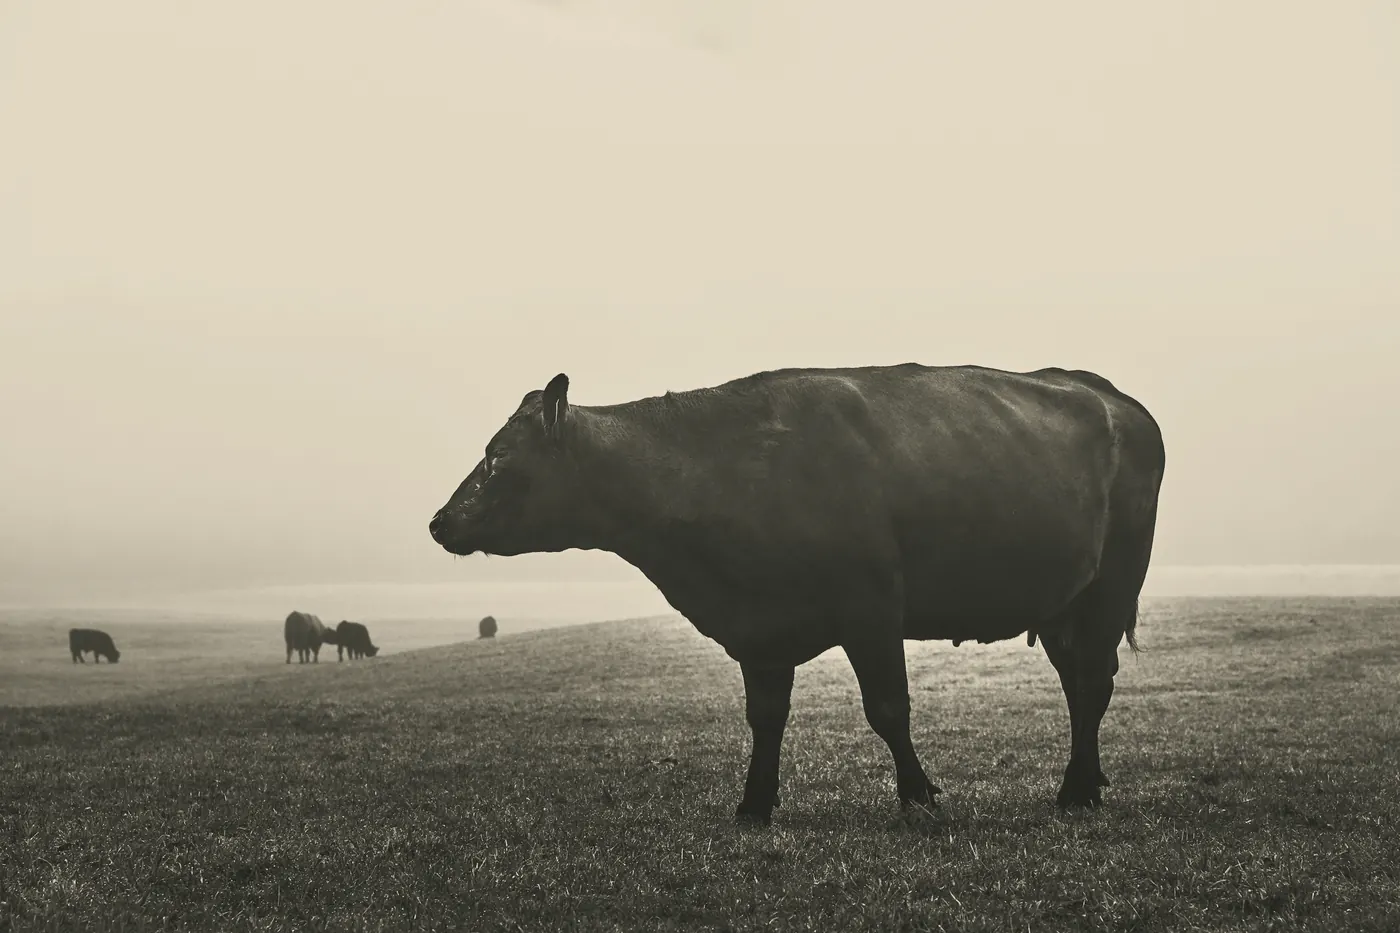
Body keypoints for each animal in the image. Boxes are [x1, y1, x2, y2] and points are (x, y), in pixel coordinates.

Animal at [428, 365, 1166, 824]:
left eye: (498, 453)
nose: (440, 521)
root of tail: (1109, 395)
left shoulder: (872, 605)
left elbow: (888, 708)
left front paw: (920, 795)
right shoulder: (761, 626)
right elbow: (765, 716)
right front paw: (754, 804)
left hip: (1112, 584)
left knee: (1092, 681)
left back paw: (1075, 790)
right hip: (1067, 601)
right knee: (1079, 681)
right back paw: (1086, 781)